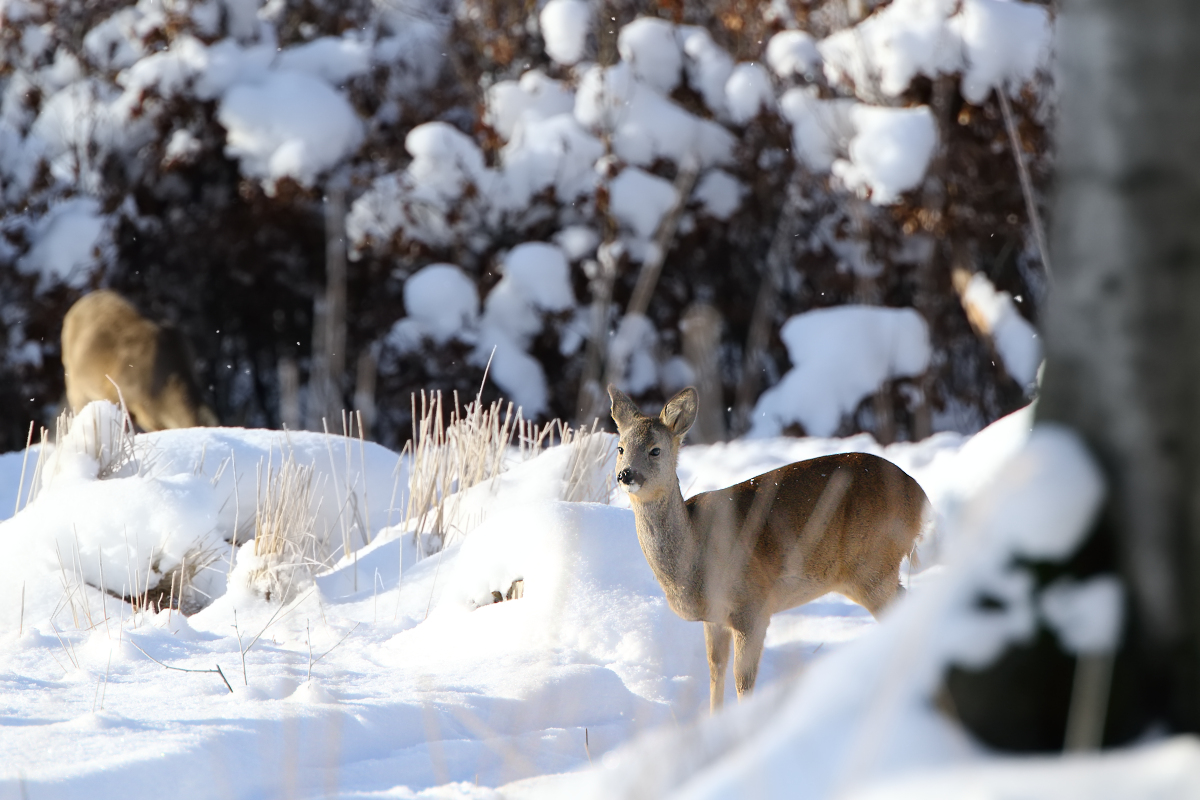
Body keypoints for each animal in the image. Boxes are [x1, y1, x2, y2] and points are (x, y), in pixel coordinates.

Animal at [609, 383, 926, 710]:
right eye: (620, 448)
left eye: (655, 449)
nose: (626, 474)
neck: (695, 550)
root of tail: (920, 496)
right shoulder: (715, 617)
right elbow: (715, 669)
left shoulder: (752, 604)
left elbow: (743, 679)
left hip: (873, 565)